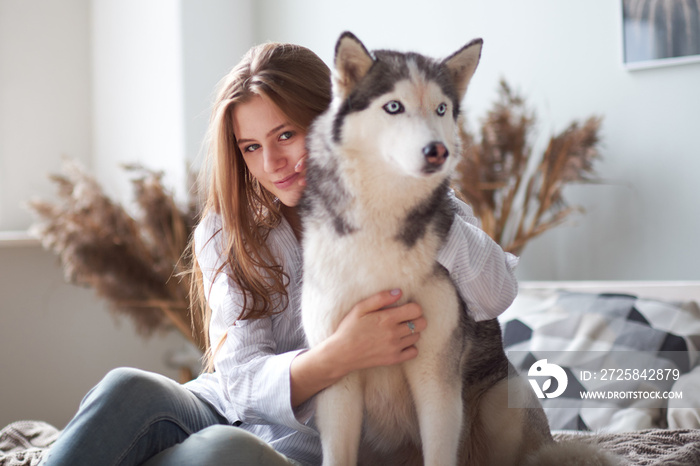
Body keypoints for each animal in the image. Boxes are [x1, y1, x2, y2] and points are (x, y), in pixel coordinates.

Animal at [298, 32, 616, 466]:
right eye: (393, 106)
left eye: (441, 108)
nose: (437, 151)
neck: (383, 222)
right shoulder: (338, 373)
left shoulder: (436, 375)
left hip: (505, 397)